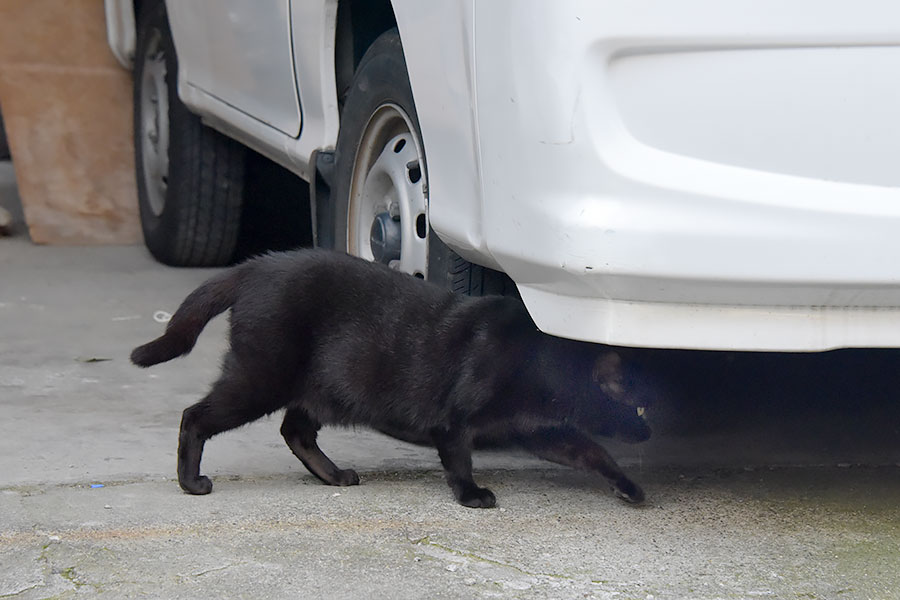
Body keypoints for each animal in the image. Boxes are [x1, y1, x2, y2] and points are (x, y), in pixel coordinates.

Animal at [132, 248, 652, 506]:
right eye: (642, 405)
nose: (650, 431)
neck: (537, 359)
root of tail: (255, 266)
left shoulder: (540, 431)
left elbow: (591, 450)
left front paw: (628, 486)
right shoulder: (455, 420)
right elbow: (459, 459)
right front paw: (471, 496)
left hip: (317, 387)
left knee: (295, 430)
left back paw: (335, 476)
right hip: (260, 376)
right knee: (195, 416)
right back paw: (191, 482)